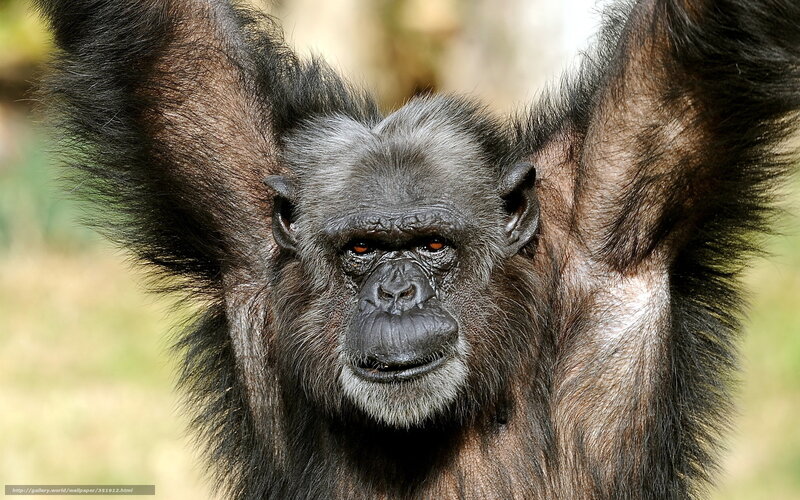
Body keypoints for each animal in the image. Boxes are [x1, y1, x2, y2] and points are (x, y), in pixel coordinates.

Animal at [35, 0, 800, 498]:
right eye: (362, 249)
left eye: (432, 243)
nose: (397, 294)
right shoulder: (242, 212)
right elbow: (173, 45)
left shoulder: (617, 209)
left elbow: (681, 53)